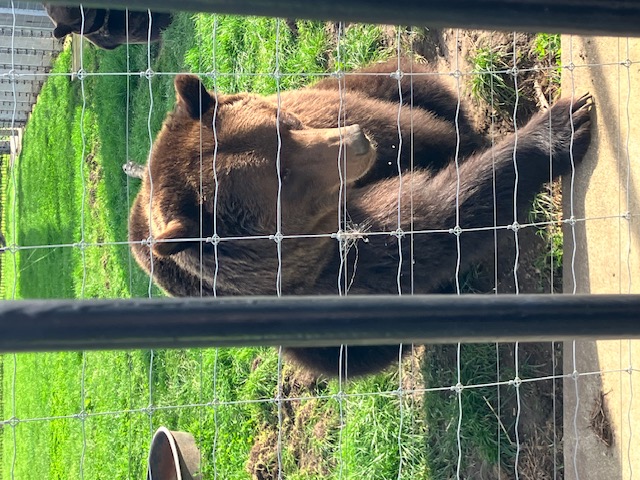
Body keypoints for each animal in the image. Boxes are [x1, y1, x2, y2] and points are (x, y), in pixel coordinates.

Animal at [128, 58, 593, 377]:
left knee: (409, 82)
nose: (355, 142)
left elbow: (420, 132)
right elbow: (428, 224)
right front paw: (555, 130)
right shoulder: (328, 266)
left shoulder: (344, 115)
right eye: (282, 177)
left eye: (283, 125)